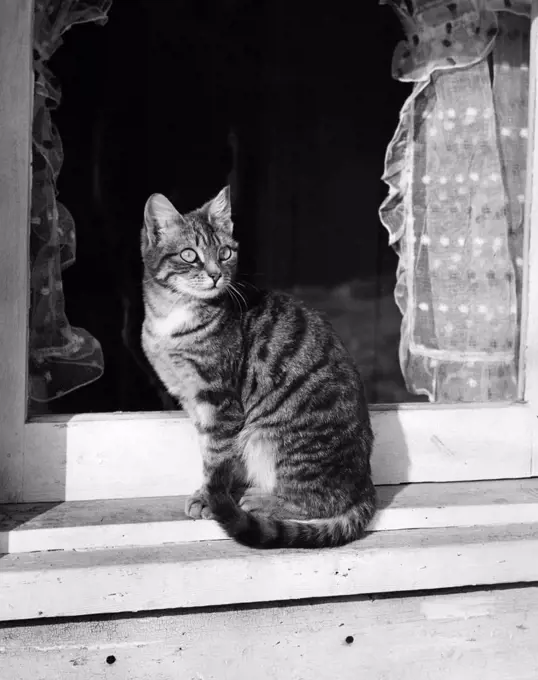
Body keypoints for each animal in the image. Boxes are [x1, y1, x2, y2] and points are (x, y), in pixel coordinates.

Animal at [140, 186, 374, 548]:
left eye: (224, 253)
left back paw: (263, 499)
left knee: (319, 500)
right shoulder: (193, 399)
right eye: (190, 255)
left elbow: (216, 456)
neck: (172, 316)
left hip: (271, 436)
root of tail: (366, 487)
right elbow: (213, 453)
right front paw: (212, 490)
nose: (216, 274)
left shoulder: (219, 399)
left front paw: (208, 498)